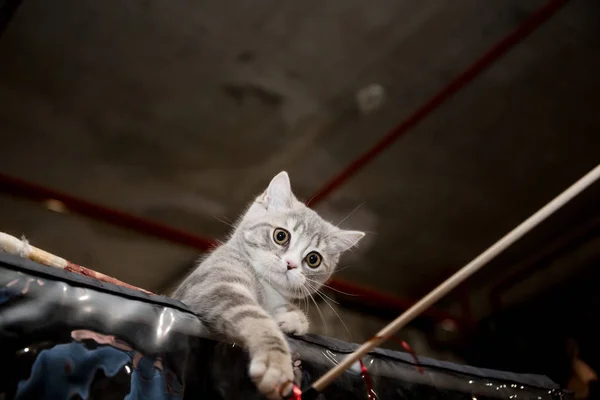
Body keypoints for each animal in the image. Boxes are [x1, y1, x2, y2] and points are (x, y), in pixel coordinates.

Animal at [171, 171, 364, 396]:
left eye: (313, 259)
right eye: (281, 236)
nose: (291, 264)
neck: (268, 288)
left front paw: (292, 318)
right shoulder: (215, 285)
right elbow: (257, 319)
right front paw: (276, 363)